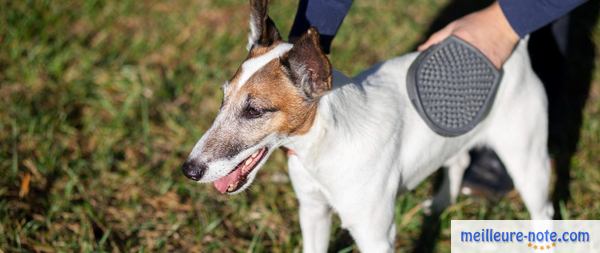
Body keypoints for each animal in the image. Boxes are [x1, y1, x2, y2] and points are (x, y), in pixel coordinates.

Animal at [182, 0, 552, 252]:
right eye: (222, 98)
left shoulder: (375, 235)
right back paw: (438, 205)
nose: (189, 170)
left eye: (254, 111)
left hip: (527, 162)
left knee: (543, 211)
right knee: (458, 159)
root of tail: (517, 51)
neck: (326, 144)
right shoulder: (313, 213)